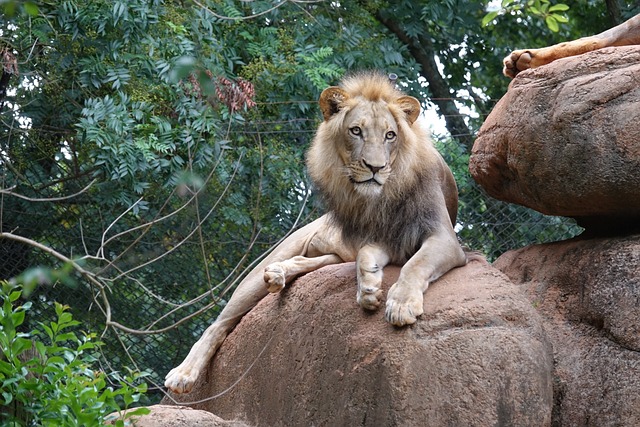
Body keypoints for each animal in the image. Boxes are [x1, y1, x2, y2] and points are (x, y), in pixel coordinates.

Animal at [162, 72, 468, 394]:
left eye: (390, 135)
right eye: (356, 131)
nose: (375, 167)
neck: (384, 196)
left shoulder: (442, 238)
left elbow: (414, 264)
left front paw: (396, 301)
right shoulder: (382, 237)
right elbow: (368, 254)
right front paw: (369, 288)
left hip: (331, 255)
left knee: (309, 262)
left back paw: (279, 274)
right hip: (268, 265)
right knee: (219, 322)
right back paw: (184, 373)